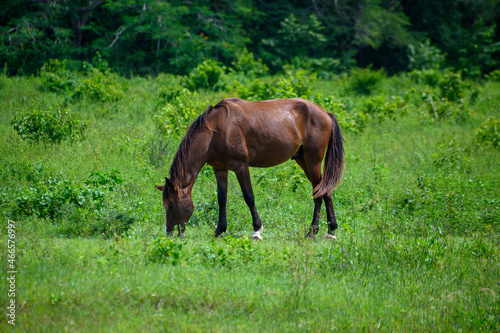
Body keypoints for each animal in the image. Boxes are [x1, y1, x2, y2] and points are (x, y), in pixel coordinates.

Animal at [156, 97, 344, 240]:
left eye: (171, 205)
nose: (170, 233)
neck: (217, 130)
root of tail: (325, 113)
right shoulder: (220, 169)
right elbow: (222, 199)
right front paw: (219, 230)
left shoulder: (241, 167)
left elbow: (249, 197)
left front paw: (256, 231)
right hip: (303, 160)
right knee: (325, 190)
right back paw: (331, 231)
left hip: (313, 161)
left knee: (318, 193)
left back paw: (312, 232)